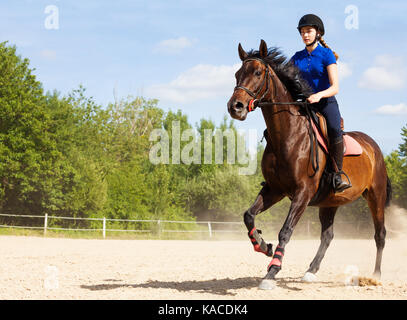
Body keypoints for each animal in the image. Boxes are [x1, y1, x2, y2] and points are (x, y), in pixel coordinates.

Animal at [226, 40, 392, 290]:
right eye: (237, 74)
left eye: (257, 73)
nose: (235, 107)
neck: (287, 135)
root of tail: (374, 147)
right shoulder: (275, 189)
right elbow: (248, 215)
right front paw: (263, 246)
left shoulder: (302, 193)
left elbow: (285, 231)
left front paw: (271, 271)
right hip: (330, 202)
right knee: (328, 235)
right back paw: (311, 271)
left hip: (376, 195)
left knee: (380, 234)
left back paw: (376, 276)